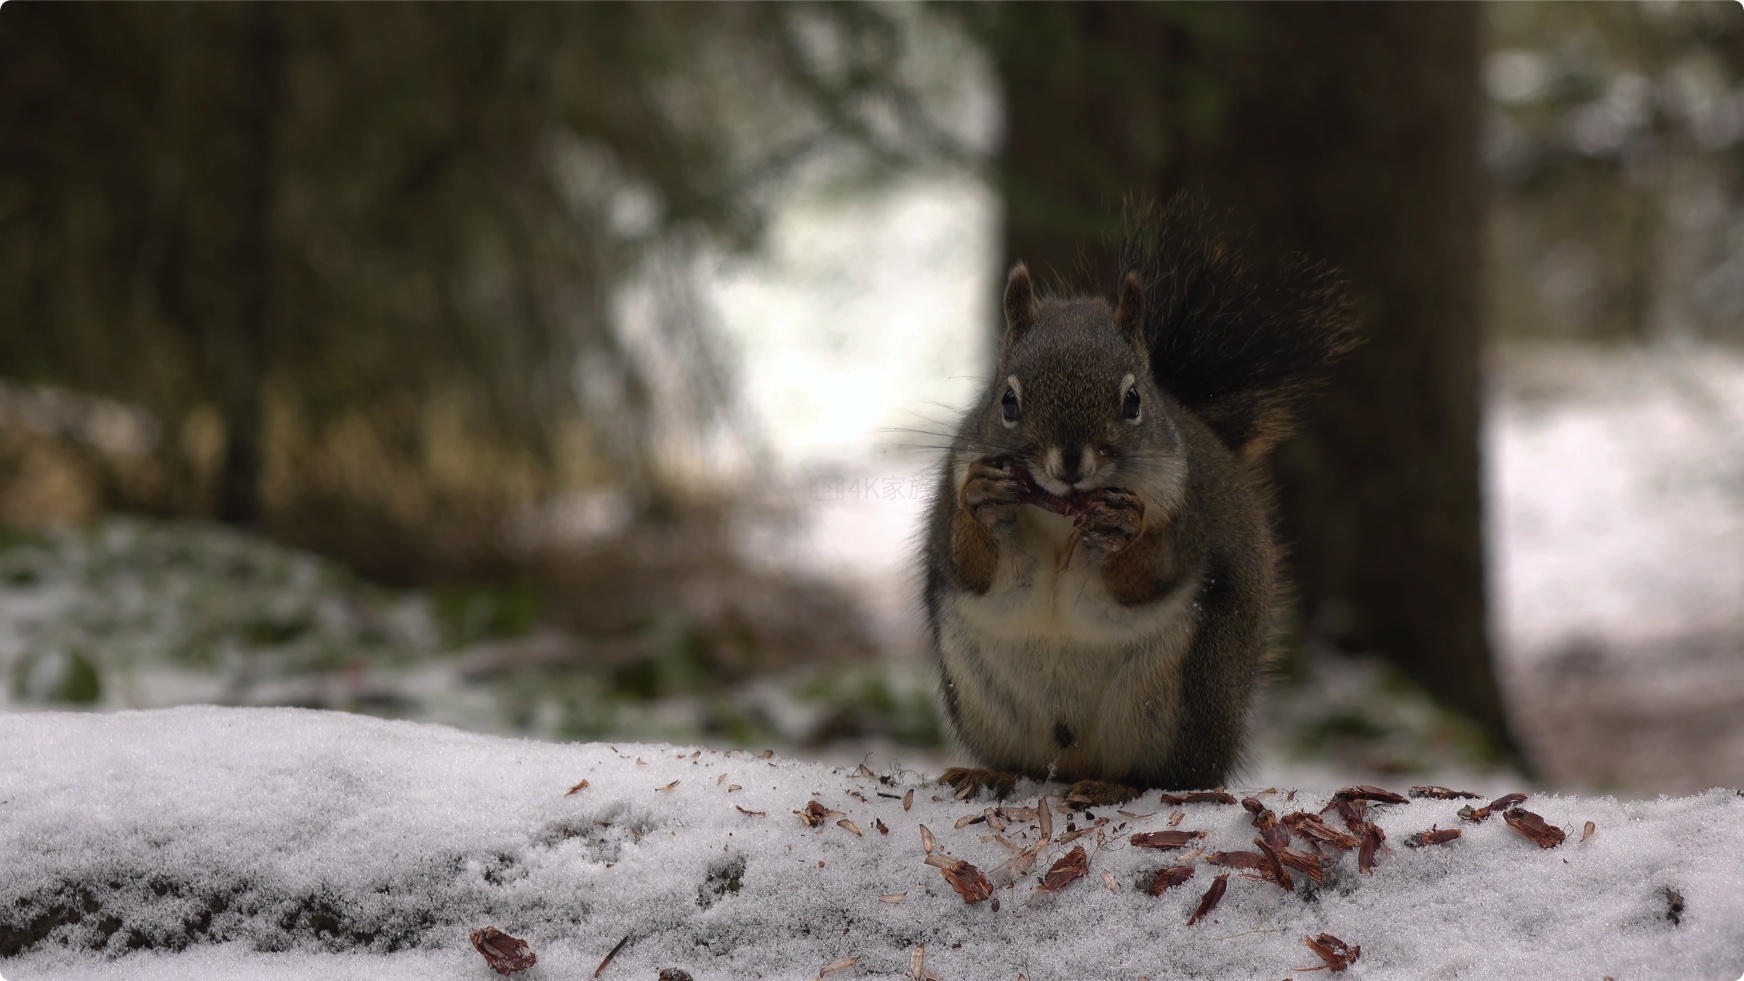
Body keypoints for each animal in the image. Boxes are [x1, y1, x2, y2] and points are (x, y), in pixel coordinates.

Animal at [922, 199, 1358, 805]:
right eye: (1006, 400)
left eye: (1133, 401)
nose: (1070, 463)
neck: (1063, 516)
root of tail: (1072, 761)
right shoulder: (957, 483)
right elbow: (969, 565)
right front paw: (983, 502)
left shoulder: (1185, 513)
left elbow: (1153, 573)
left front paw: (1125, 530)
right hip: (979, 693)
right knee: (1024, 762)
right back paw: (993, 773)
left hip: (1182, 698)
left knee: (1171, 776)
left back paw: (1114, 786)